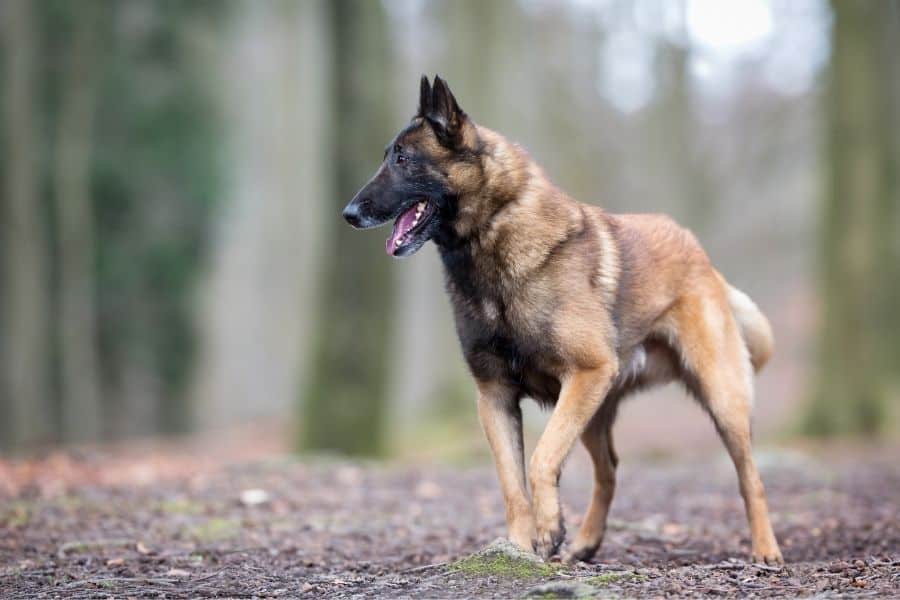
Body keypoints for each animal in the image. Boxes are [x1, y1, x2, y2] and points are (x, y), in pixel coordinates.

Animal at [342, 76, 784, 568]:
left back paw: (766, 551)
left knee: (751, 477)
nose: (349, 213)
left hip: (718, 400)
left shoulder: (583, 374)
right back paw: (587, 544)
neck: (492, 244)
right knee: (609, 471)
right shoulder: (494, 396)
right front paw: (519, 549)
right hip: (593, 410)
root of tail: (700, 253)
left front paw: (549, 528)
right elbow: (511, 484)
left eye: (403, 159)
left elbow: (540, 459)